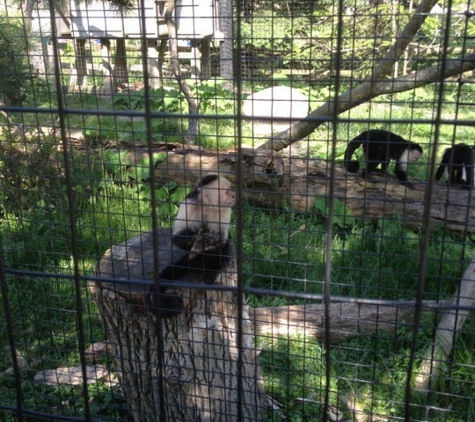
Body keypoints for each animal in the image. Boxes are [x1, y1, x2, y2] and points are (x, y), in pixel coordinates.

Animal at [149, 175, 236, 316]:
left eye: (230, 189)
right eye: (226, 190)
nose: (233, 194)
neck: (208, 205)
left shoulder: (224, 210)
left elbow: (222, 239)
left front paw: (212, 241)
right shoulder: (189, 203)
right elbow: (176, 237)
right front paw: (195, 239)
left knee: (226, 247)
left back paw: (210, 273)